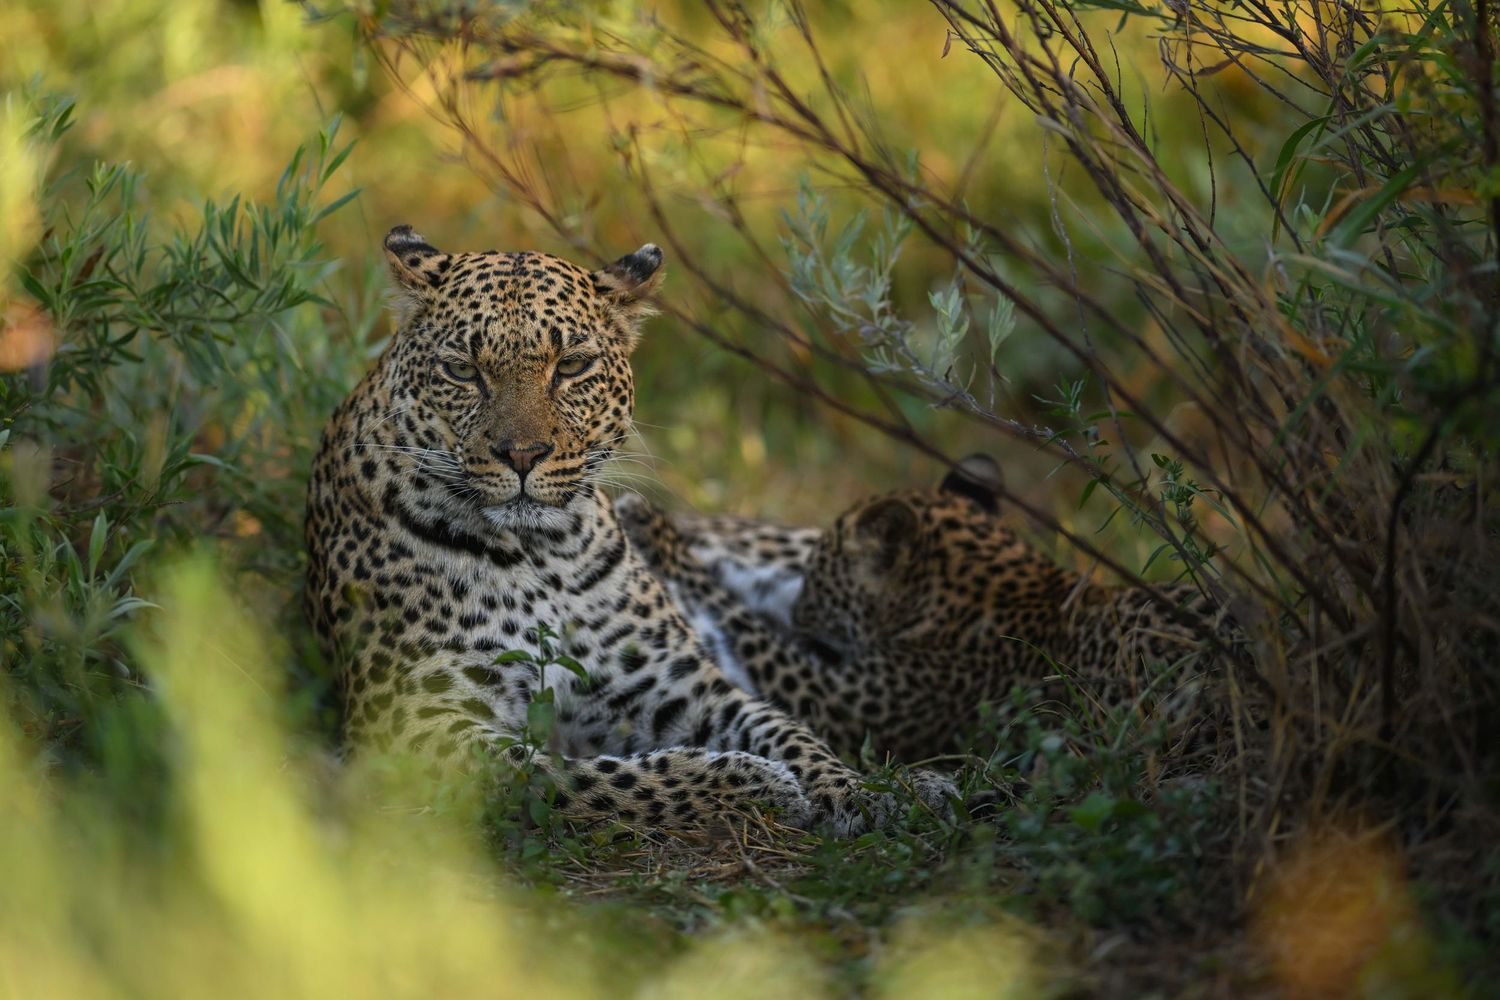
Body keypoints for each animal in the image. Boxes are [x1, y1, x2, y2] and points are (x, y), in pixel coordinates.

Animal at [303, 225, 952, 835]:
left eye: (572, 366)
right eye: (463, 371)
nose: (522, 455)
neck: (543, 554)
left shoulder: (672, 683)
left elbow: (785, 729)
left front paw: (857, 789)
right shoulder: (421, 728)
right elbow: (587, 781)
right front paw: (752, 783)